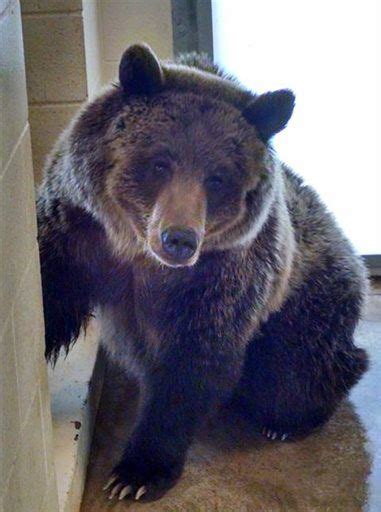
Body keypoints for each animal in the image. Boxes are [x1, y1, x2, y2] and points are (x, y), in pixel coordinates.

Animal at [37, 43, 366, 500]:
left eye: (218, 178)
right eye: (160, 163)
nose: (179, 238)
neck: (136, 253)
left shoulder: (222, 275)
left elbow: (193, 358)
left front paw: (136, 473)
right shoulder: (75, 232)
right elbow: (49, 299)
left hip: (308, 298)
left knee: (296, 372)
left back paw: (288, 421)